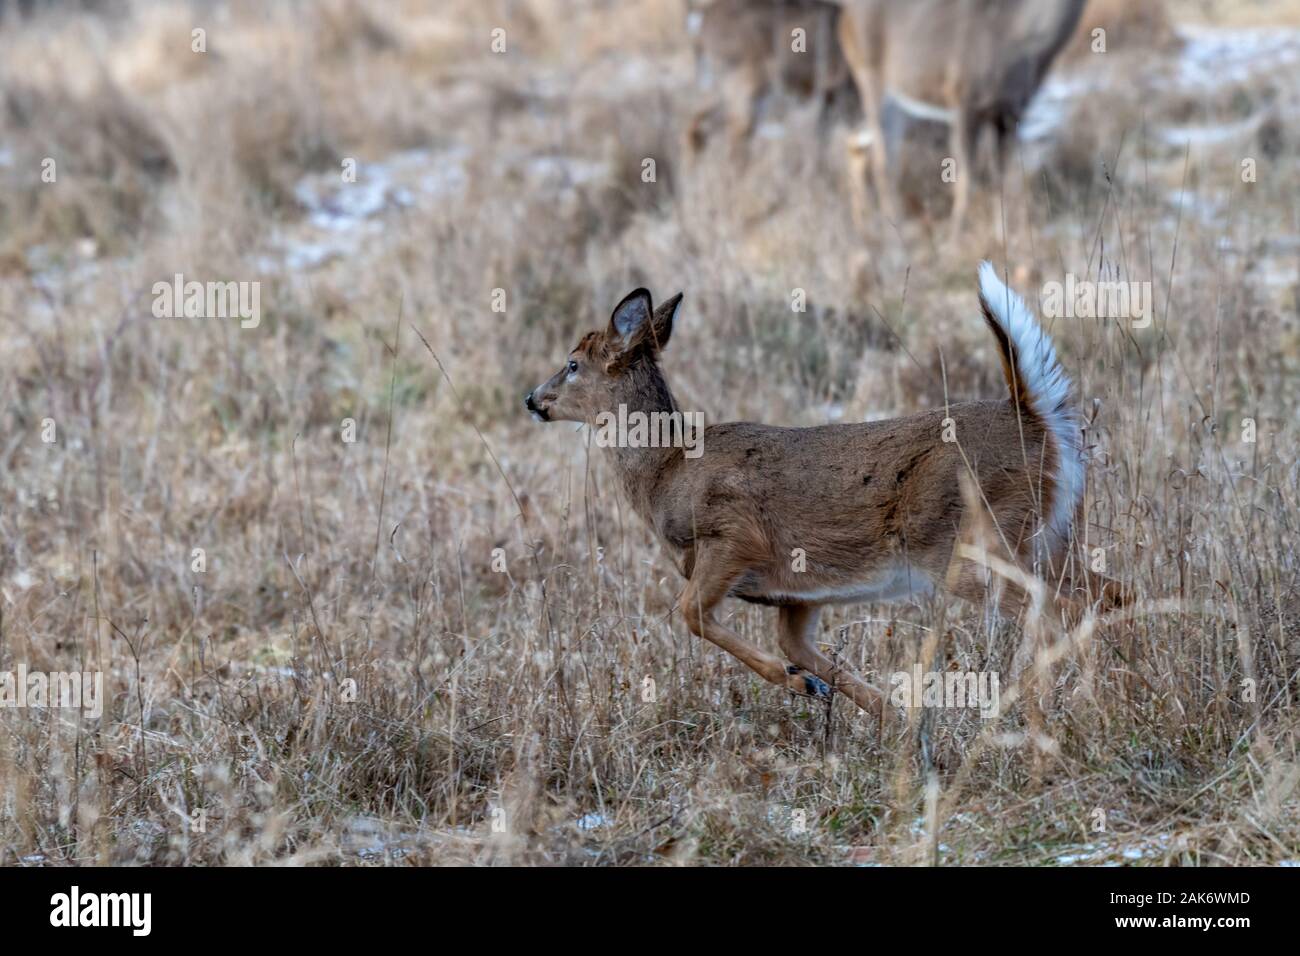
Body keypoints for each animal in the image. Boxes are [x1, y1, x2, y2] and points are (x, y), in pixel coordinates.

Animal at [524, 263, 1122, 715]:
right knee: (1110, 593)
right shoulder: (797, 593)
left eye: (572, 364)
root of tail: (1035, 419)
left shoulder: (733, 535)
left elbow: (690, 614)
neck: (666, 470)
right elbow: (800, 648)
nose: (533, 398)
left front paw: (801, 685)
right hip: (1049, 538)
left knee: (1063, 609)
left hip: (971, 544)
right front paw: (890, 715)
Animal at [836, 0, 1086, 233]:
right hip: (869, 74)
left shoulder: (1010, 114)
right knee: (883, 162)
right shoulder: (964, 100)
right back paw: (893, 236)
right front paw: (955, 239)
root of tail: (845, 16)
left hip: (903, 99)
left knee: (857, 141)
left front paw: (1001, 235)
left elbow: (999, 179)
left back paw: (865, 226)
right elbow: (966, 181)